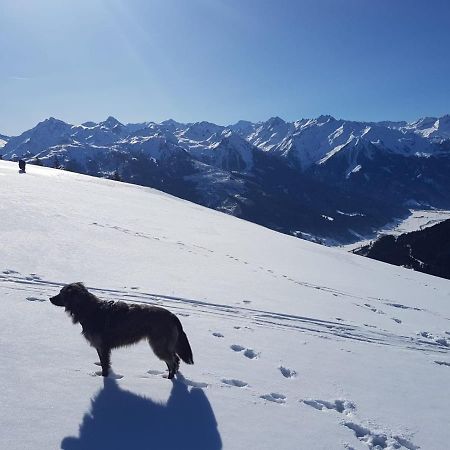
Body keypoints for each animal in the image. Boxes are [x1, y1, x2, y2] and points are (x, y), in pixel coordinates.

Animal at [49, 284, 193, 378]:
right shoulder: (101, 347)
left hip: (159, 345)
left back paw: (170, 379)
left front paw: (105, 378)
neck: (90, 310)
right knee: (175, 359)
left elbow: (104, 364)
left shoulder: (102, 346)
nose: (50, 298)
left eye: (61, 293)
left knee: (172, 361)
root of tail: (173, 316)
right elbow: (104, 363)